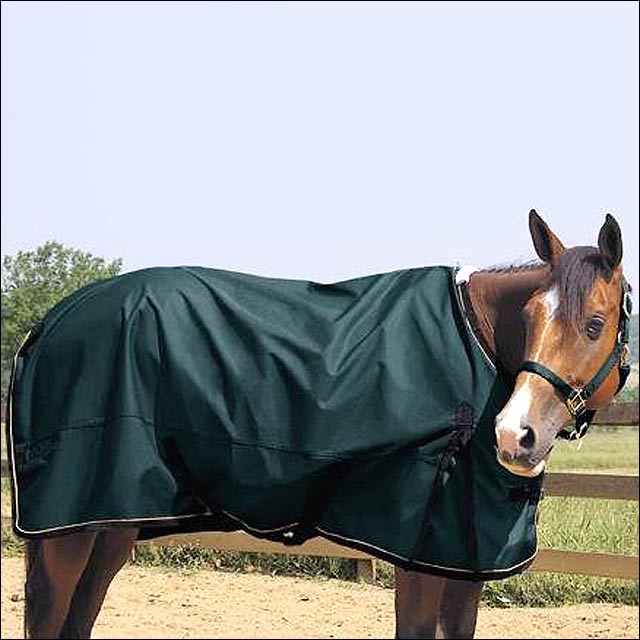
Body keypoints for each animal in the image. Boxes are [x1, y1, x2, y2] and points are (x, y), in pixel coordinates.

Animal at [6, 210, 632, 639]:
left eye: (594, 324)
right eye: (529, 317)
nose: (514, 434)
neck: (471, 342)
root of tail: (50, 324)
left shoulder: (463, 561)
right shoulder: (418, 553)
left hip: (114, 521)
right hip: (71, 530)